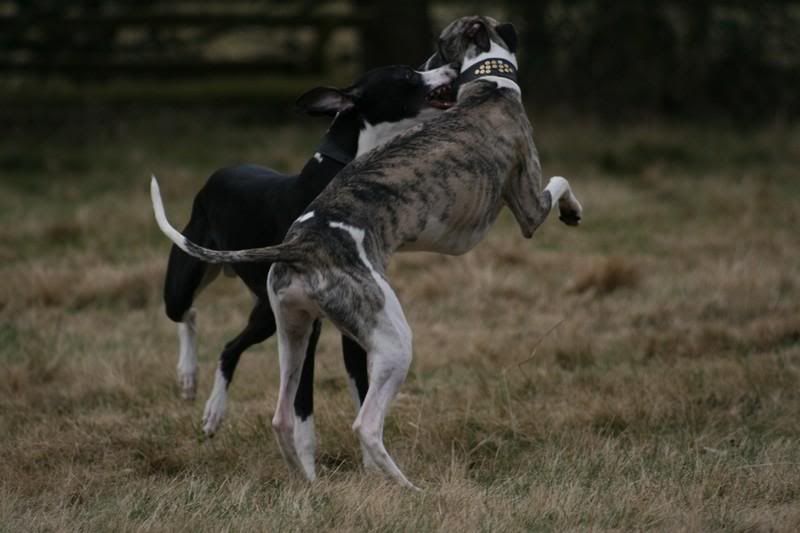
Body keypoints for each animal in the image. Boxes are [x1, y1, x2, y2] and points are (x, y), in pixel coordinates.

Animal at [162, 63, 456, 436]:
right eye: (406, 75)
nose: (451, 68)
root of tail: (217, 175)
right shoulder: (310, 326)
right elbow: (302, 402)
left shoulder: (352, 328)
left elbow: (360, 389)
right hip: (190, 287)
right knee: (189, 315)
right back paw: (191, 379)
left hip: (264, 314)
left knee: (225, 344)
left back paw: (207, 400)